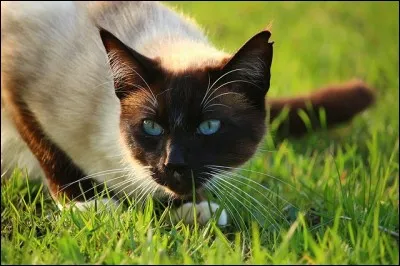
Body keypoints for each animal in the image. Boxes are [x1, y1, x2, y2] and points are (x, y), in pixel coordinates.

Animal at [0, 1, 376, 227]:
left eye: (209, 127)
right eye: (152, 127)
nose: (174, 164)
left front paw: (195, 207)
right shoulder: (14, 81)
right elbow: (48, 149)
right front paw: (86, 205)